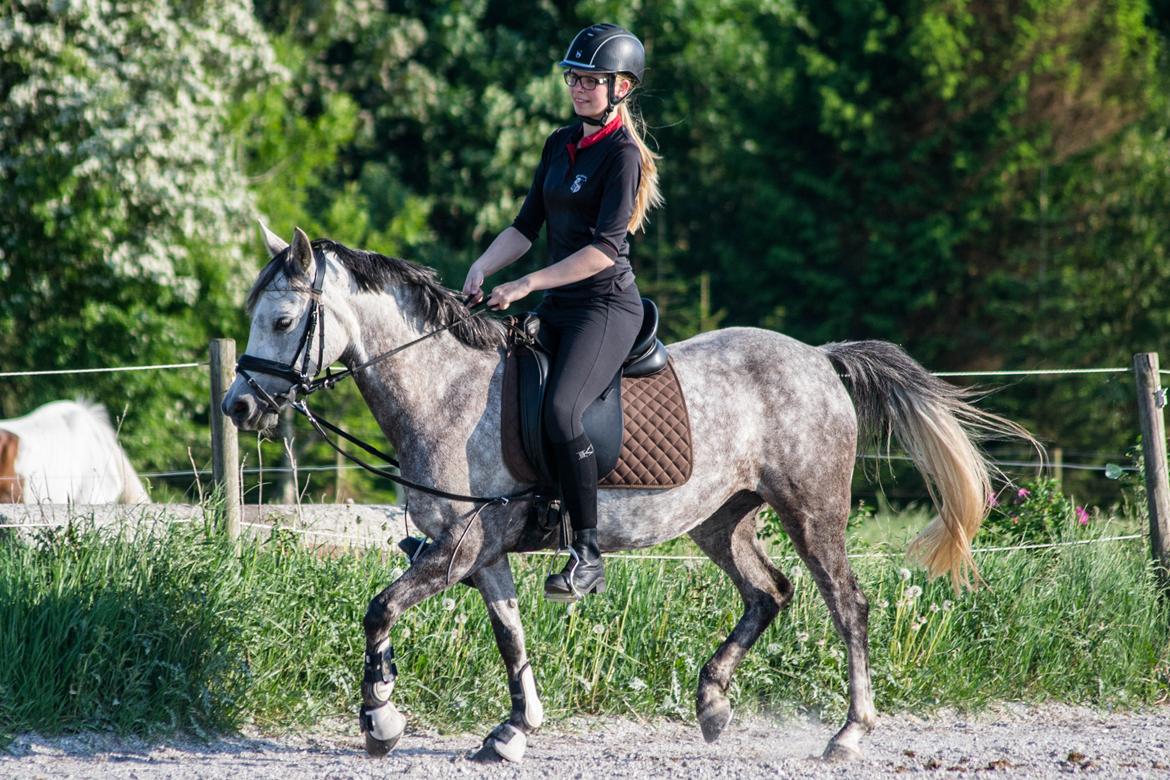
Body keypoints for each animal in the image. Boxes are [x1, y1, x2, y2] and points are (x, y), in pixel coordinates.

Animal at [223, 225, 1029, 762]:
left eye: (285, 320)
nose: (238, 406)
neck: (443, 389)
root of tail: (819, 359)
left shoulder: (457, 548)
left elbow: (379, 609)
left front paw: (381, 719)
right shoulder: (484, 553)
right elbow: (509, 634)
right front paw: (514, 730)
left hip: (813, 512)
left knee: (847, 605)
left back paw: (849, 734)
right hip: (719, 522)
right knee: (768, 593)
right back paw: (712, 705)